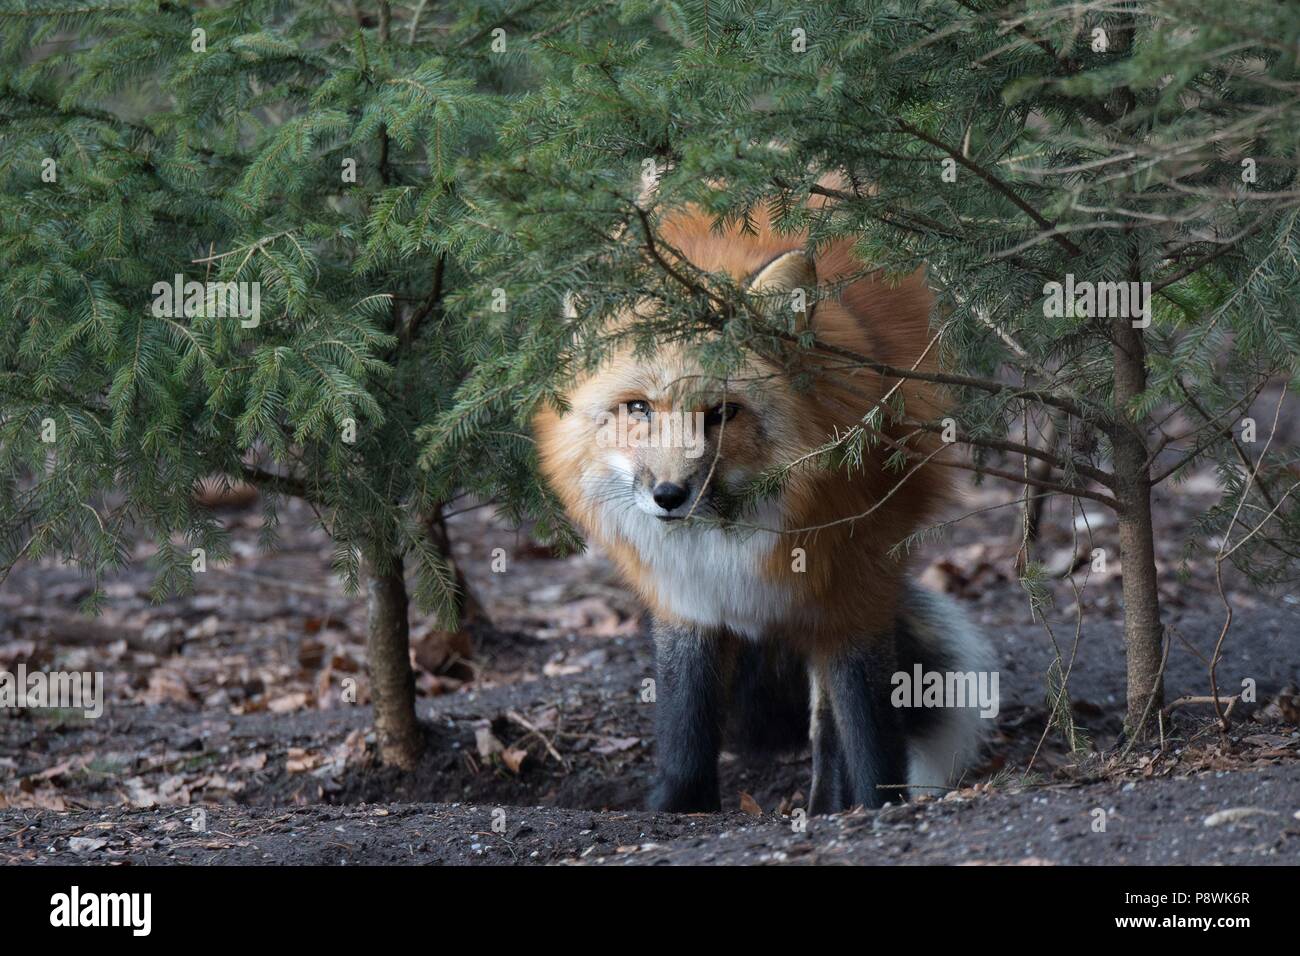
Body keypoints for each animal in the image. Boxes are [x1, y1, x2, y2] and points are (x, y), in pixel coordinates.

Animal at [533, 196, 987, 816]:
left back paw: (826, 805)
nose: (669, 497)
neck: (732, 540)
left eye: (722, 413)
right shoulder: (686, 599)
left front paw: (876, 807)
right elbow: (685, 726)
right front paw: (679, 808)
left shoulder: (857, 593)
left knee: (825, 724)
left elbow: (867, 731)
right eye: (639, 408)